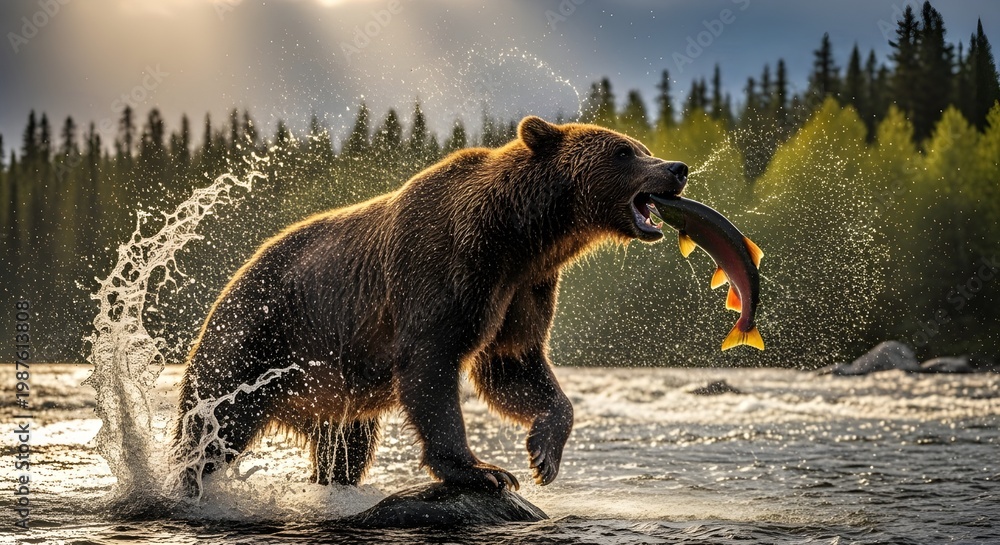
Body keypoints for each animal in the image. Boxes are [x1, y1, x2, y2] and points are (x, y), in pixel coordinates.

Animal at [172, 116, 688, 495]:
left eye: (641, 146)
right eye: (624, 152)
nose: (676, 167)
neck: (520, 235)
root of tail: (226, 289)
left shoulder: (525, 287)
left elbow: (513, 364)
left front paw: (543, 453)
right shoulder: (444, 266)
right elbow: (432, 365)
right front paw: (484, 470)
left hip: (328, 389)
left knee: (346, 448)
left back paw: (332, 479)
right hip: (256, 342)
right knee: (213, 426)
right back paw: (187, 483)